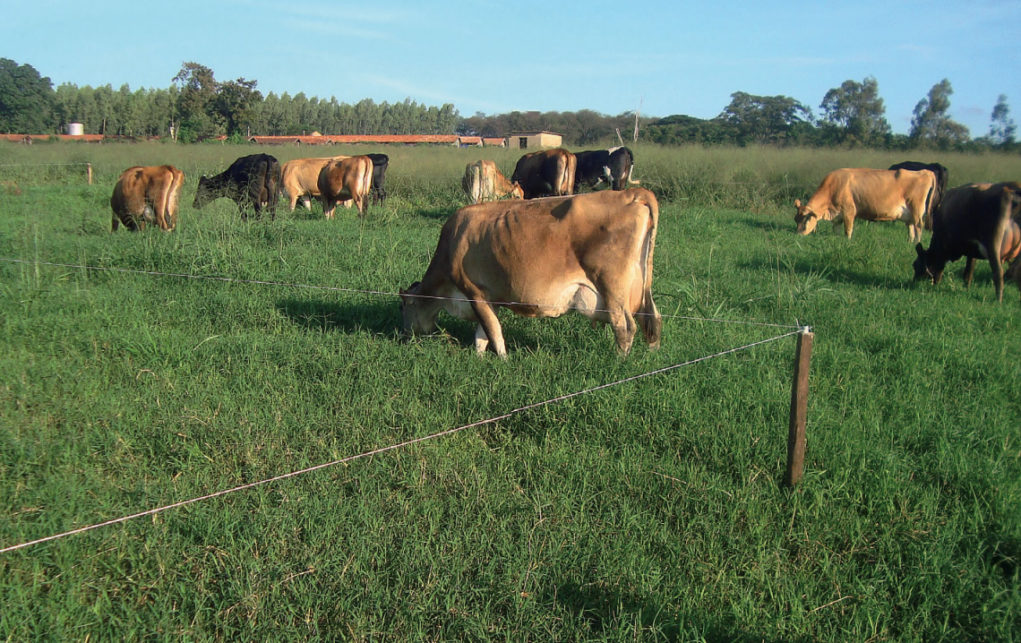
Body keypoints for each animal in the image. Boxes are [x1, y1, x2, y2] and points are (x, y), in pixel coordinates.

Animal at [398, 187, 661, 357]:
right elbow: (483, 333)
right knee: (653, 319)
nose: (403, 335)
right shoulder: (489, 297)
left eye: (404, 307)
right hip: (640, 286)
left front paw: (503, 360)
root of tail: (633, 193)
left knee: (625, 326)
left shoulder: (474, 291)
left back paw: (620, 362)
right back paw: (651, 357)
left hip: (612, 286)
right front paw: (480, 359)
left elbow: (493, 331)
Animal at [792, 167, 935, 242]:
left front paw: (847, 242)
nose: (797, 235)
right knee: (911, 230)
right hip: (909, 215)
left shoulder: (849, 211)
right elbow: (836, 229)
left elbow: (848, 229)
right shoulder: (838, 215)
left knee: (918, 227)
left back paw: (916, 244)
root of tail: (925, 171)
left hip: (917, 210)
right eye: (795, 219)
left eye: (805, 220)